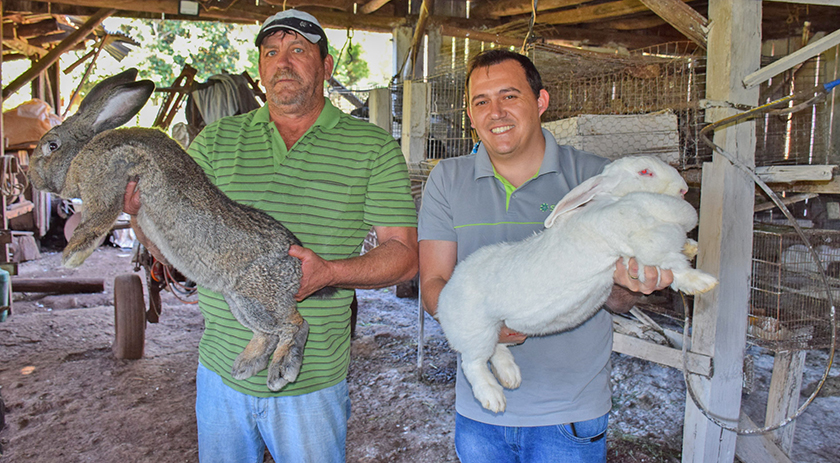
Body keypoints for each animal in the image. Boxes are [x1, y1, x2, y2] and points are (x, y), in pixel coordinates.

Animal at [30, 70, 312, 392]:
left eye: (52, 146)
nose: (32, 177)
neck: (82, 151)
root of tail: (294, 261)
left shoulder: (105, 178)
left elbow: (95, 220)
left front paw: (70, 257)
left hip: (259, 297)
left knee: (296, 324)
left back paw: (281, 371)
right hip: (239, 302)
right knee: (268, 333)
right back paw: (245, 365)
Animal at [436, 156, 720, 414]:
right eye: (645, 172)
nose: (683, 189)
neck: (615, 200)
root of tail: (444, 297)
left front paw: (691, 248)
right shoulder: (645, 243)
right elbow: (673, 265)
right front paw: (703, 283)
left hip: (497, 329)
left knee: (498, 350)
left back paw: (510, 376)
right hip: (479, 332)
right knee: (473, 363)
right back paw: (494, 398)